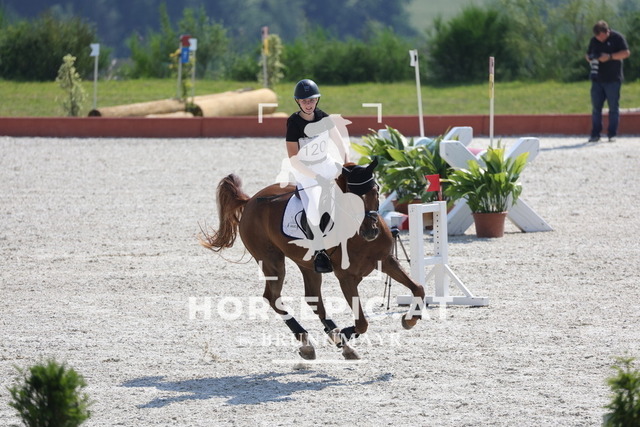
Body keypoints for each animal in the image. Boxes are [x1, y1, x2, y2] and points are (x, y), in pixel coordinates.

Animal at [200, 160, 425, 360]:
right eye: (351, 197)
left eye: (376, 190)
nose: (370, 231)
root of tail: (250, 200)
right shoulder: (346, 277)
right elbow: (362, 323)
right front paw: (344, 333)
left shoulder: (386, 261)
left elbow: (418, 288)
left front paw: (410, 319)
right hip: (271, 261)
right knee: (273, 297)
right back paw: (308, 342)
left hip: (306, 264)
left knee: (312, 298)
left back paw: (336, 342)